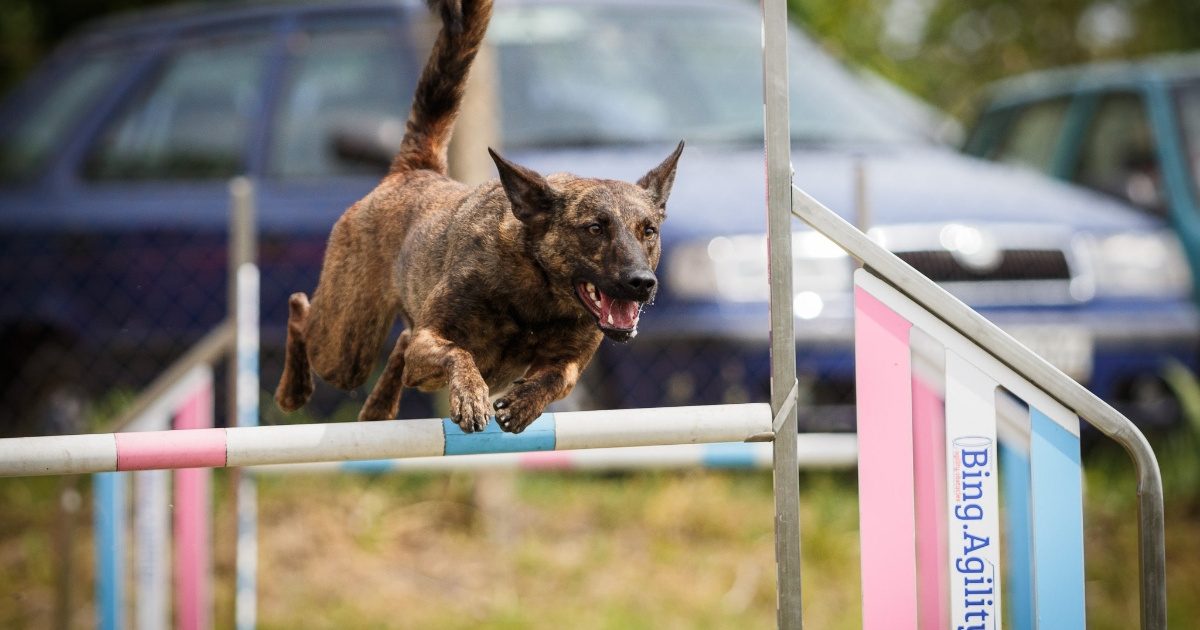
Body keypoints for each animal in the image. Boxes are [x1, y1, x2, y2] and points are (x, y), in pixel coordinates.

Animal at [274, 0, 686, 432]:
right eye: (594, 228)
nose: (642, 283)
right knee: (302, 312)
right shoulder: (431, 339)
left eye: (649, 231)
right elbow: (459, 354)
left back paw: (377, 411)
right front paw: (471, 396)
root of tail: (414, 170)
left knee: (397, 348)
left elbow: (556, 377)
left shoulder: (571, 362)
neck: (539, 295)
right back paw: (293, 391)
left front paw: (524, 401)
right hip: (346, 346)